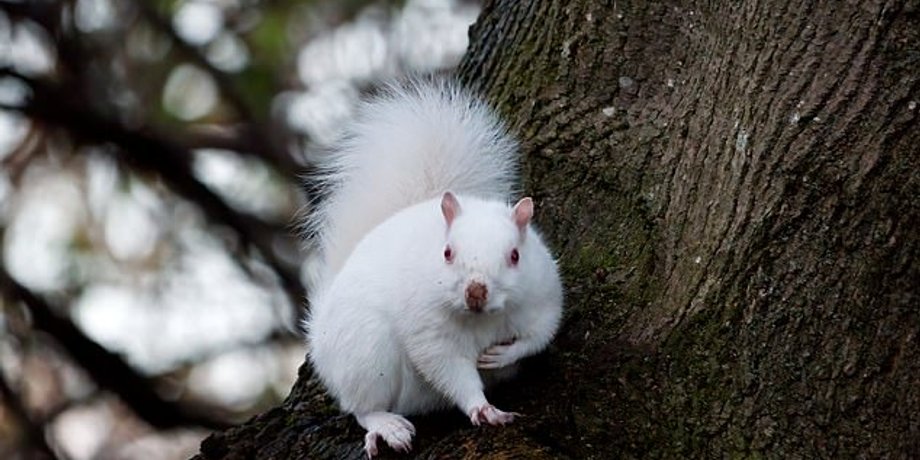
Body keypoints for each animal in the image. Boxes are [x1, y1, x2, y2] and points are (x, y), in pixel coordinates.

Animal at [303, 78, 563, 458]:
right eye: (447, 252)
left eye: (515, 255)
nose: (475, 292)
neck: (481, 320)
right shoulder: (431, 334)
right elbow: (450, 370)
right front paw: (482, 408)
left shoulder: (543, 299)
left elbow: (539, 336)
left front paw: (504, 355)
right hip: (365, 352)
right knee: (361, 407)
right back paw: (386, 426)